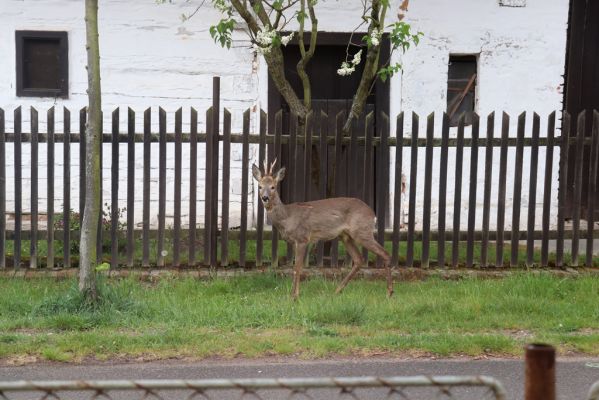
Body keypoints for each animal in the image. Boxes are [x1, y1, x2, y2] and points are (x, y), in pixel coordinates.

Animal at [253, 158, 394, 298]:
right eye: (260, 186)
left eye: (273, 187)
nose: (265, 198)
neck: (287, 217)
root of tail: (372, 213)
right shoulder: (293, 242)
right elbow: (295, 267)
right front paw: (292, 294)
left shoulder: (303, 238)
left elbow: (297, 267)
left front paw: (294, 296)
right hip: (346, 236)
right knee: (359, 259)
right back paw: (337, 291)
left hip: (362, 231)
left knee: (385, 253)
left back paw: (389, 292)